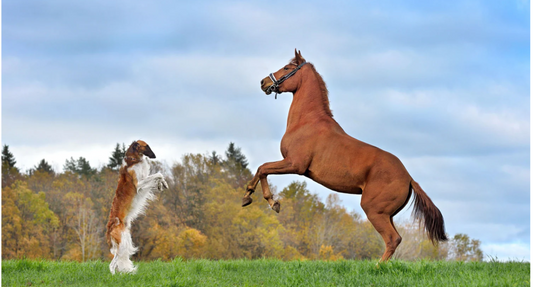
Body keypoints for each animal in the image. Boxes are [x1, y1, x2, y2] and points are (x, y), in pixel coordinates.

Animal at [105, 141, 167, 276]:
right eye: (146, 146)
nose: (154, 156)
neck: (133, 160)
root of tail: (110, 226)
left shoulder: (145, 179)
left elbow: (157, 177)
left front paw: (161, 184)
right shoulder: (139, 184)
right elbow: (158, 174)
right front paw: (163, 183)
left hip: (125, 240)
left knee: (116, 264)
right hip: (122, 244)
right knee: (112, 264)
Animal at [243, 50, 446, 264]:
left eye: (287, 68)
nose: (263, 82)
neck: (307, 121)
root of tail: (408, 178)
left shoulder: (294, 164)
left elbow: (263, 168)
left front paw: (265, 201)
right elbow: (262, 169)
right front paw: (254, 198)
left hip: (374, 210)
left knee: (393, 239)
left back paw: (376, 267)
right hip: (387, 214)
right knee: (395, 239)